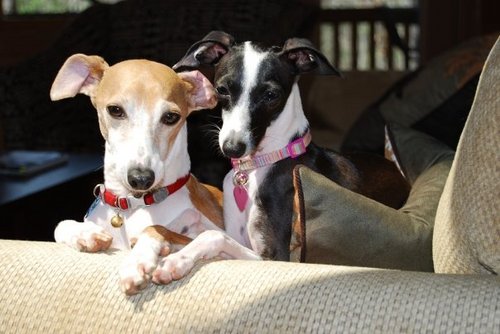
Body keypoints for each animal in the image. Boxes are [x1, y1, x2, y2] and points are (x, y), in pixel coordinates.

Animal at [50, 54, 260, 294]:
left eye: (170, 117)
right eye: (115, 110)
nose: (141, 179)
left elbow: (167, 229)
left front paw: (138, 261)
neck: (132, 206)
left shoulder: (258, 256)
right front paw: (87, 234)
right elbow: (60, 224)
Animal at [173, 31, 406, 260]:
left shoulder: (275, 254)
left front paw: (174, 262)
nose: (232, 148)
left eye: (271, 95)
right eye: (222, 89)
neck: (261, 164)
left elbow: (214, 237)